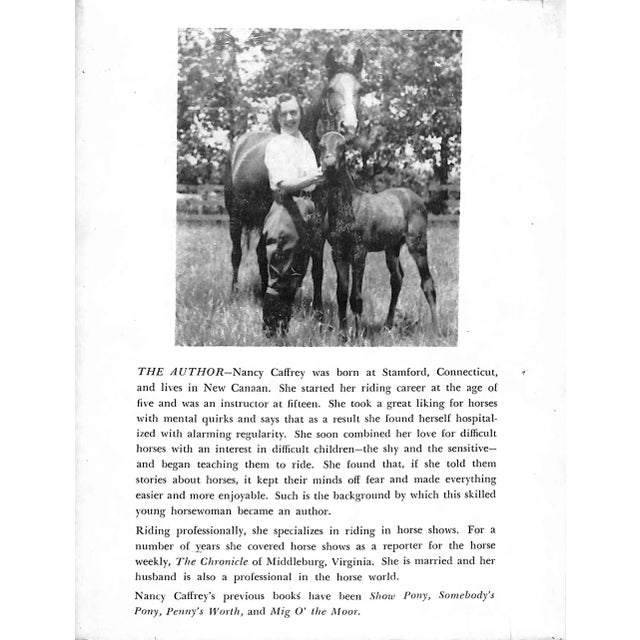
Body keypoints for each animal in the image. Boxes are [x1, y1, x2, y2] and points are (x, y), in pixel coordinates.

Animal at [223, 49, 364, 317]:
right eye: (331, 89)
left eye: (360, 90)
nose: (349, 127)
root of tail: (239, 145)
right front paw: (317, 312)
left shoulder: (320, 226)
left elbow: (316, 268)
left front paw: (317, 310)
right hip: (235, 217)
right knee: (236, 254)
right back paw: (234, 293)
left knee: (260, 254)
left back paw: (263, 292)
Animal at [317, 130, 440, 338]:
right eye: (320, 145)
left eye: (343, 146)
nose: (330, 164)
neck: (347, 207)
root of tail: (415, 197)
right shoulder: (338, 252)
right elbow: (341, 293)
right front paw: (343, 335)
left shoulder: (359, 251)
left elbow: (356, 297)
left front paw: (357, 336)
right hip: (392, 248)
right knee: (397, 279)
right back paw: (388, 325)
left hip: (418, 244)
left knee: (427, 282)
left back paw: (436, 329)